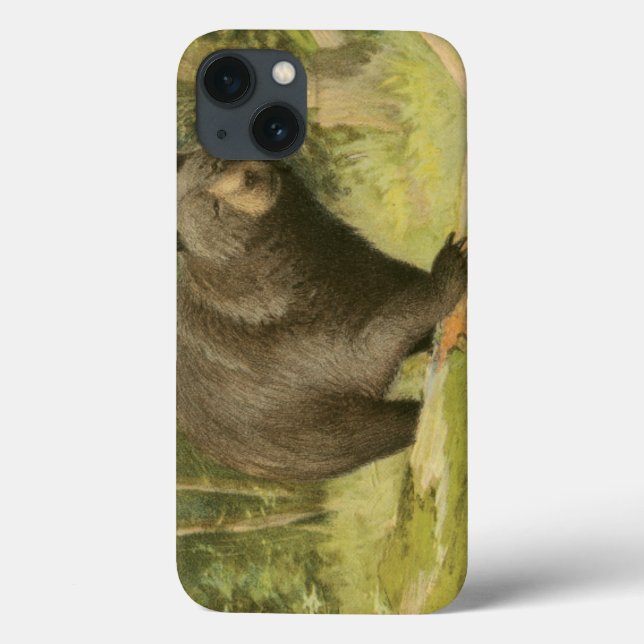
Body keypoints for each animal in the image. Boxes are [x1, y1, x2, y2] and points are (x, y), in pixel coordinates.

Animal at [177, 148, 467, 481]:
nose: (250, 178)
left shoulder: (339, 256)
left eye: (218, 164)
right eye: (215, 209)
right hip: (310, 430)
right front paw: (448, 269)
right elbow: (367, 352)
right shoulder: (284, 339)